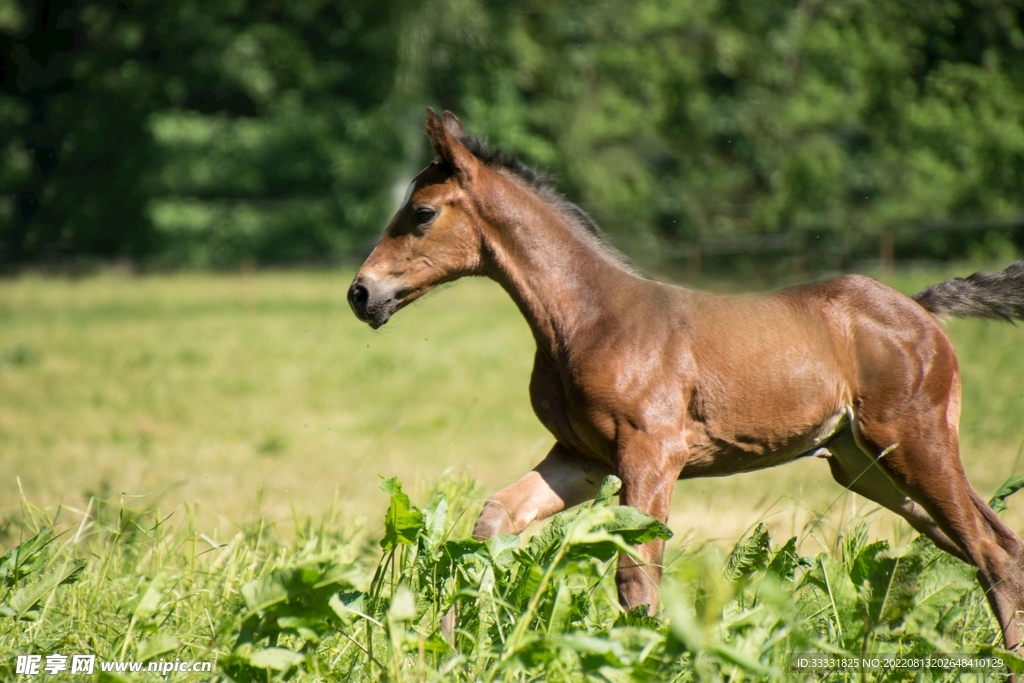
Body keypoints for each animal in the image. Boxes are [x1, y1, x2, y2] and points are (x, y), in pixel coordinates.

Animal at [349, 108, 1024, 652]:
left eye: (421, 213)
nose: (361, 293)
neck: (586, 316)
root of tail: (920, 310)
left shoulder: (652, 454)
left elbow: (636, 575)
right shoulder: (581, 458)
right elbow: (490, 523)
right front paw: (447, 643)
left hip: (915, 444)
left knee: (989, 550)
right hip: (869, 467)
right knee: (997, 543)